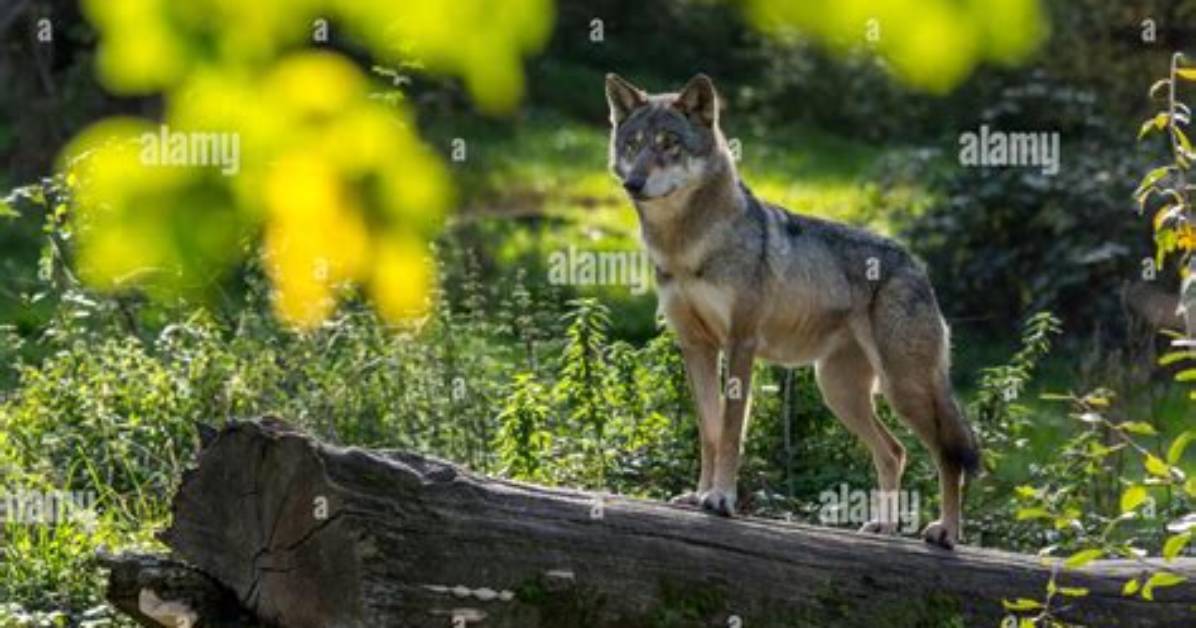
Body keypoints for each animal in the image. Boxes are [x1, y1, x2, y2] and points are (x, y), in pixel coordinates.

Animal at [605, 73, 980, 548]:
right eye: (633, 144)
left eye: (669, 143)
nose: (633, 184)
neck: (687, 245)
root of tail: (917, 266)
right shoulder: (695, 347)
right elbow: (709, 432)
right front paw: (699, 494)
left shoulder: (740, 344)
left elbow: (731, 432)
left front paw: (721, 499)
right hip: (839, 392)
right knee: (895, 452)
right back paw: (884, 527)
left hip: (904, 390)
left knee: (947, 455)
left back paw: (946, 531)